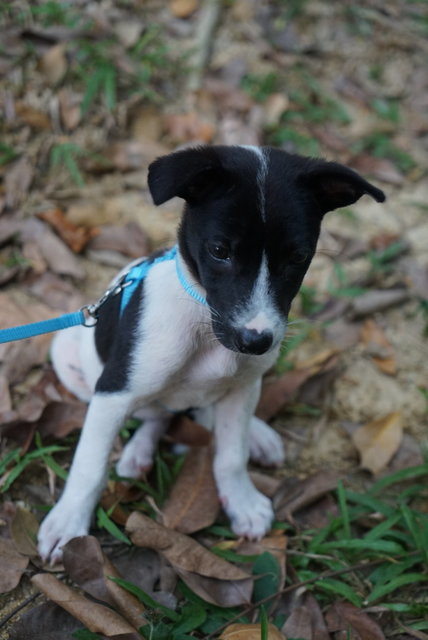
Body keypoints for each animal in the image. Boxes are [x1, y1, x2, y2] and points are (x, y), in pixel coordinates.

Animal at [36, 144, 384, 560]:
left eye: (299, 257)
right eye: (219, 251)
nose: (256, 342)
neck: (204, 322)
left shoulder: (243, 384)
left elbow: (231, 456)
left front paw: (242, 501)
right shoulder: (114, 390)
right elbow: (89, 465)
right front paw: (68, 523)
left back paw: (255, 434)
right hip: (68, 354)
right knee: (156, 415)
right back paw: (138, 452)